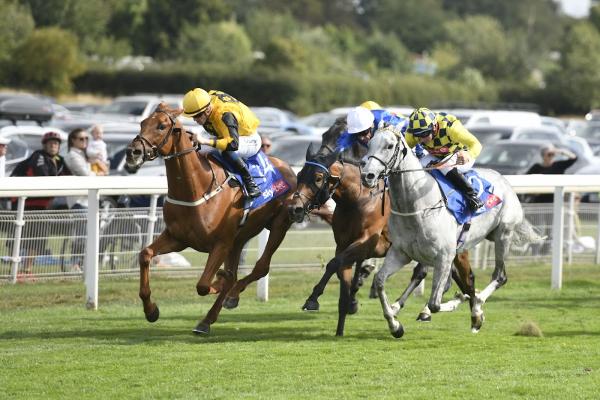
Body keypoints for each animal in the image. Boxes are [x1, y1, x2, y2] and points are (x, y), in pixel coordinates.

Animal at [126, 103, 296, 334]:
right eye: (143, 123)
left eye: (161, 126)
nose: (132, 152)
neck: (196, 189)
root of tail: (288, 168)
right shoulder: (177, 238)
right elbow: (145, 254)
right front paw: (151, 310)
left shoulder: (220, 243)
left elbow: (204, 285)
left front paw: (220, 281)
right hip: (239, 239)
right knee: (236, 273)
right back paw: (209, 317)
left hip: (279, 224)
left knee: (260, 267)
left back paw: (224, 301)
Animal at [360, 126, 544, 338]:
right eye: (369, 144)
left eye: (389, 146)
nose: (367, 175)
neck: (417, 205)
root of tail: (503, 180)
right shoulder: (401, 253)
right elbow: (380, 280)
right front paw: (395, 325)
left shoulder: (443, 256)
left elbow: (436, 302)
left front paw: (465, 303)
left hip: (502, 235)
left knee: (499, 276)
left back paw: (477, 307)